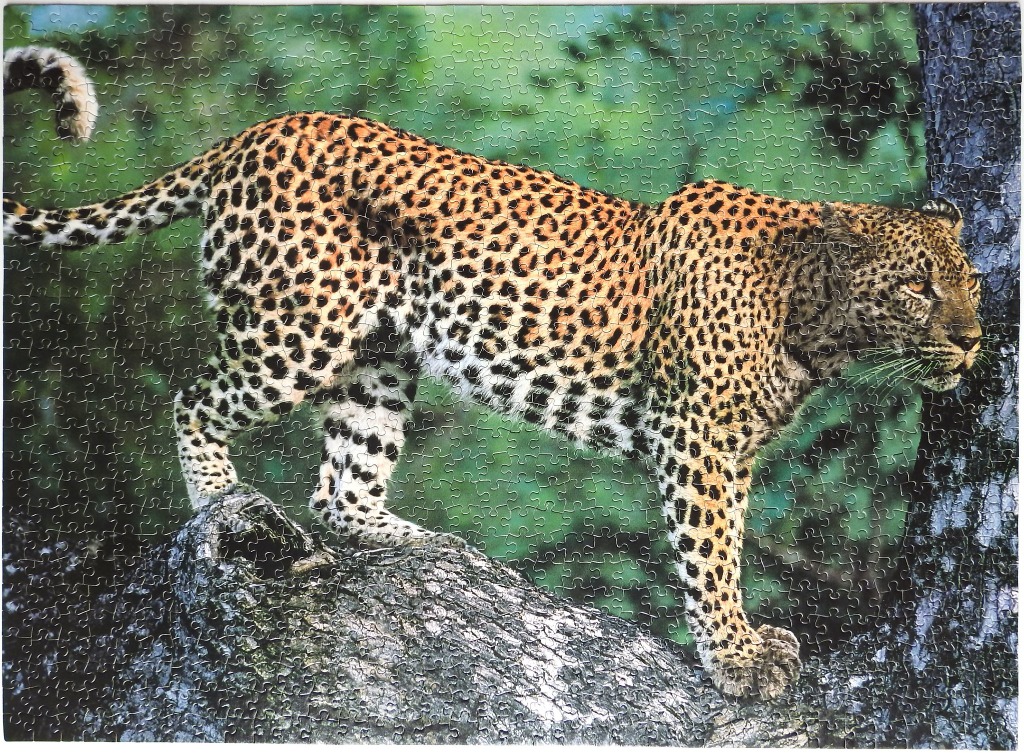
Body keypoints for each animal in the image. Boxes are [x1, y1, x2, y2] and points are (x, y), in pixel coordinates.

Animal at [3, 47, 982, 700]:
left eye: (970, 281)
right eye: (917, 285)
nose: (974, 340)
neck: (817, 318)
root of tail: (250, 135)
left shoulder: (727, 445)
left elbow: (724, 545)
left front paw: (740, 647)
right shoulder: (698, 438)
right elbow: (712, 554)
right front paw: (737, 659)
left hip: (379, 360)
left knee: (340, 485)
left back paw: (419, 540)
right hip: (297, 330)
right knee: (194, 399)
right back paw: (218, 497)